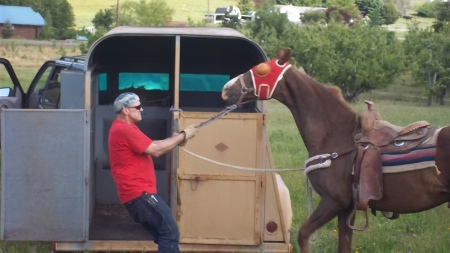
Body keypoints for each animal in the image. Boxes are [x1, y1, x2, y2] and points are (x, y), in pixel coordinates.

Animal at [221, 48, 450, 252]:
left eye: (261, 70)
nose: (226, 88)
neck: (337, 134)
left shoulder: (333, 202)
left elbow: (303, 235)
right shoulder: (347, 209)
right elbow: (343, 245)